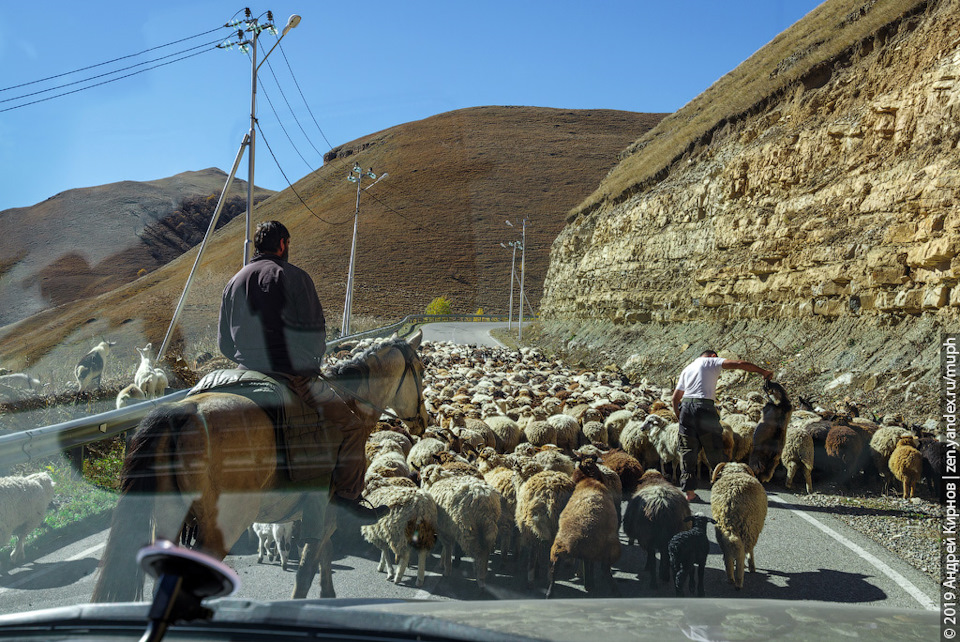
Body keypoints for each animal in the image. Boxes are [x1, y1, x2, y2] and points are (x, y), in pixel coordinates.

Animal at [92, 330, 426, 600]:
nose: (421, 421)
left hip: (169, 521)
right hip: (222, 529)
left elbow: (322, 557)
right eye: (421, 370)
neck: (350, 401)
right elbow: (307, 569)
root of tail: (182, 413)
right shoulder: (326, 512)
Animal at [420, 460, 502, 592]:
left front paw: (446, 569)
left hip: (467, 529)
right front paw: (442, 563)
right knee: (486, 549)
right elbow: (446, 547)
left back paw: (480, 579)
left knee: (480, 552)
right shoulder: (448, 526)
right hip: (488, 527)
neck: (437, 480)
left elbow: (447, 546)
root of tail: (483, 498)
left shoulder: (442, 529)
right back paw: (483, 572)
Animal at [544, 456, 620, 596]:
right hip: (609, 552)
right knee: (605, 571)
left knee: (554, 571)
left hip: (557, 550)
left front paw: (589, 584)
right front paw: (589, 583)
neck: (588, 481)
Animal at [708, 460, 768, 592]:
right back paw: (739, 580)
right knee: (742, 553)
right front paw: (752, 566)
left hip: (721, 530)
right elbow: (750, 551)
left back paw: (731, 578)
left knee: (728, 554)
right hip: (748, 528)